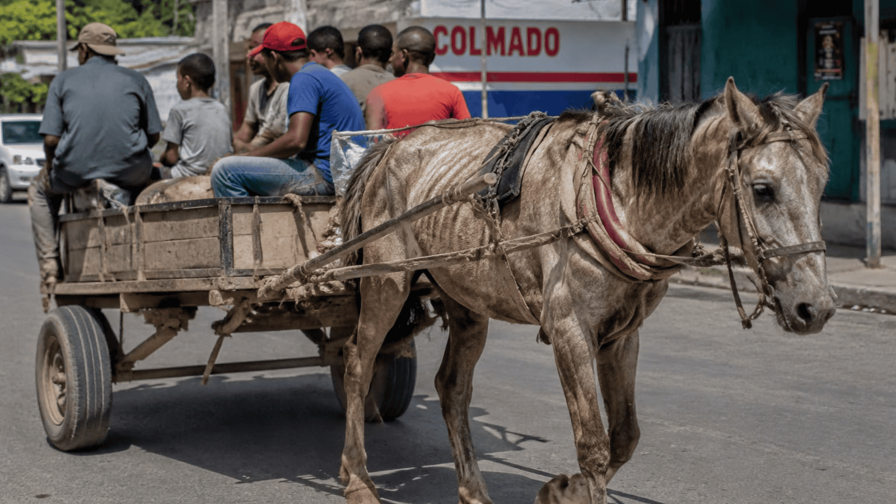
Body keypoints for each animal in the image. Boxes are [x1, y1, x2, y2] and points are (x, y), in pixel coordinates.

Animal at [336, 77, 835, 504]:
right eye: (763, 189)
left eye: (821, 184)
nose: (818, 308)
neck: (619, 199)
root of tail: (388, 147)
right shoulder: (569, 330)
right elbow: (593, 443)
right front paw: (575, 485)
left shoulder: (622, 334)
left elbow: (625, 437)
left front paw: (563, 489)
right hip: (387, 281)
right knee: (358, 363)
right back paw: (357, 478)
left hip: (466, 300)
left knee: (452, 388)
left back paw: (473, 489)